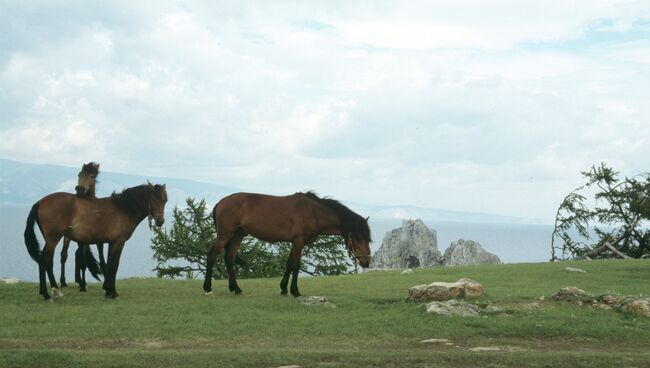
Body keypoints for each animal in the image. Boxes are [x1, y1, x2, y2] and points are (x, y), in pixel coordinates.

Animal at [24, 183, 168, 300]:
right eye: (153, 199)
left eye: (165, 200)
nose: (160, 221)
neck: (123, 208)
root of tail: (39, 202)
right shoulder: (119, 242)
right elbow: (114, 266)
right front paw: (113, 292)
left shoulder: (111, 243)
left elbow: (109, 265)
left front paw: (108, 291)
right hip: (53, 239)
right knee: (43, 261)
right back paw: (46, 294)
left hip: (51, 240)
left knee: (49, 263)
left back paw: (55, 291)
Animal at [58, 161, 104, 290]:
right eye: (79, 174)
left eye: (92, 176)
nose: (79, 189)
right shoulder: (74, 238)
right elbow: (69, 257)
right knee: (70, 255)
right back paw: (70, 281)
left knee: (80, 256)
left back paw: (80, 281)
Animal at [202, 191, 370, 298]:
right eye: (359, 237)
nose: (367, 262)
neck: (313, 212)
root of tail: (221, 202)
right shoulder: (298, 241)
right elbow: (295, 265)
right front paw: (295, 291)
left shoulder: (297, 243)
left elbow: (290, 264)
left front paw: (284, 289)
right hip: (225, 235)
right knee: (212, 256)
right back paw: (208, 289)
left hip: (238, 235)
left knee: (229, 258)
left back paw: (236, 289)